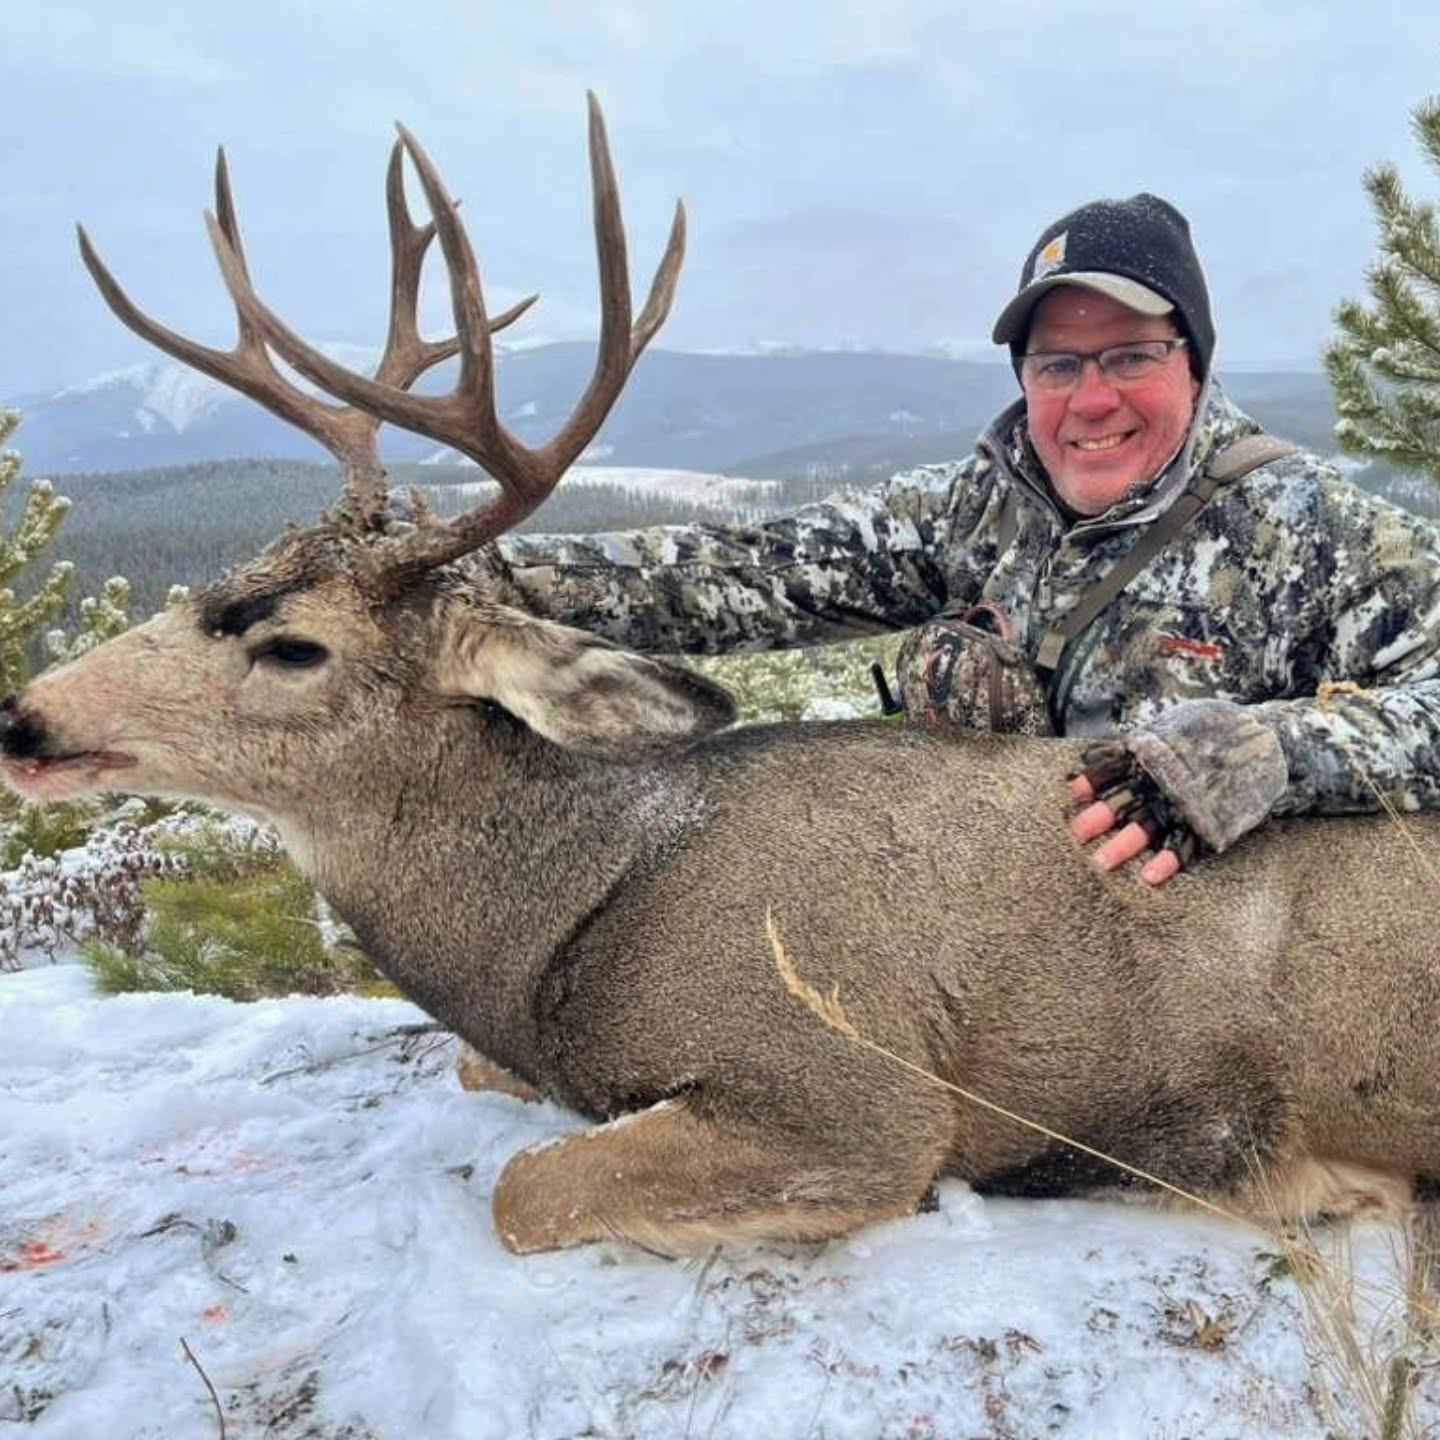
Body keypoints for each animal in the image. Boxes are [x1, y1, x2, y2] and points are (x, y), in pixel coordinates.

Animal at [6, 97, 1440, 1257]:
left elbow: (524, 1191)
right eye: (212, 586)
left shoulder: (851, 1092)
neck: (570, 915)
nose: (25, 716)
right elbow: (475, 1081)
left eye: (291, 643)